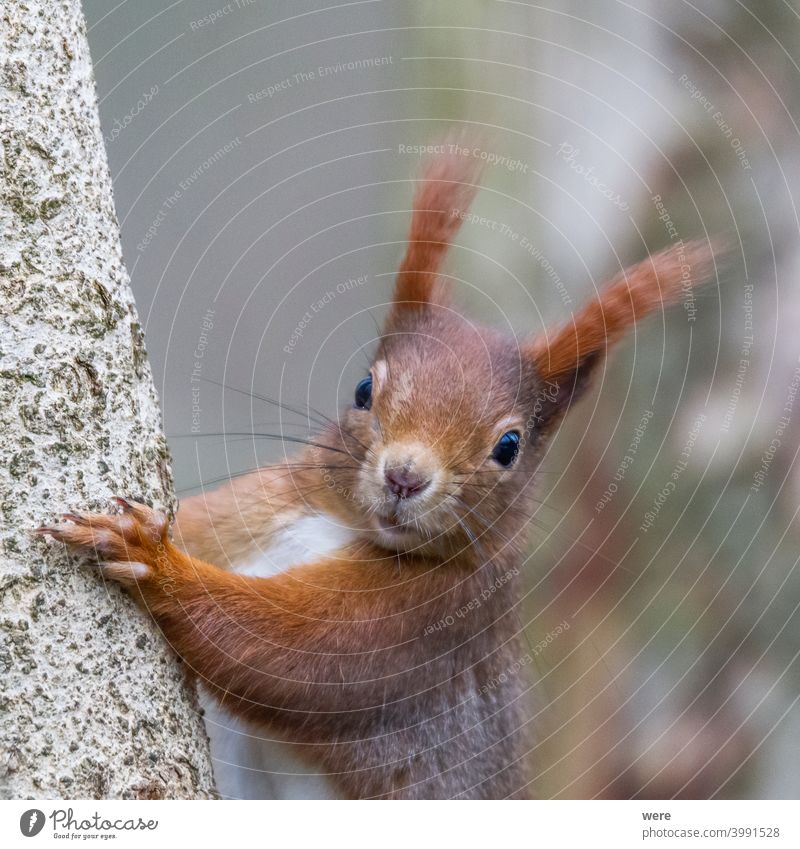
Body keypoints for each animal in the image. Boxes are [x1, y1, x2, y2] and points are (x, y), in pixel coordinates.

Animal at [39, 144, 720, 796]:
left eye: (509, 446)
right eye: (365, 389)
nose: (404, 477)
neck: (342, 528)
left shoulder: (425, 628)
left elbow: (277, 651)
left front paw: (152, 560)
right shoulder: (256, 507)